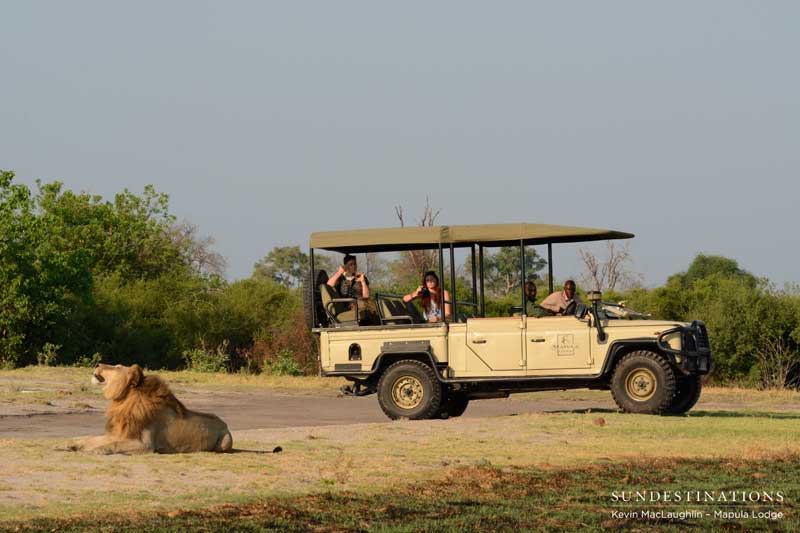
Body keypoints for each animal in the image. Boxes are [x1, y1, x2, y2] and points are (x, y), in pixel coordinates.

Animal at [65, 363, 233, 454]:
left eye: (117, 367)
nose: (97, 364)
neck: (123, 401)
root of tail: (225, 423)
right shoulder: (119, 433)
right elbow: (91, 438)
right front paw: (72, 444)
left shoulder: (145, 445)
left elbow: (112, 444)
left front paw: (95, 450)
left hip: (225, 442)